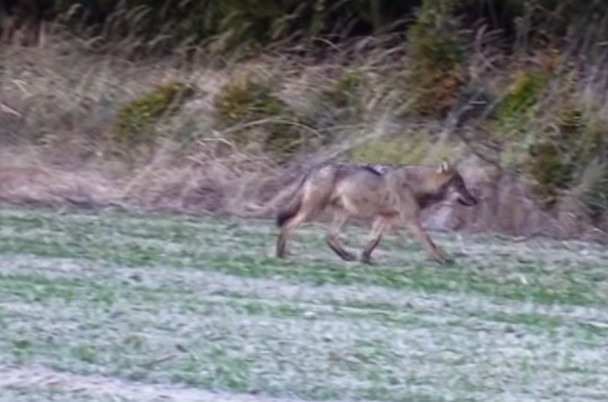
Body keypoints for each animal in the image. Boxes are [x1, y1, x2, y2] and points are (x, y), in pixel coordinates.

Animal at [276, 162, 480, 266]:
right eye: (461, 186)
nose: (475, 200)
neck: (418, 185)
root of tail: (313, 169)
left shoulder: (385, 217)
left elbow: (373, 241)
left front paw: (365, 259)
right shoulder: (410, 220)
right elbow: (430, 242)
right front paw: (443, 260)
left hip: (345, 214)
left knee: (329, 236)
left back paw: (346, 256)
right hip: (314, 212)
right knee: (288, 225)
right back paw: (280, 253)